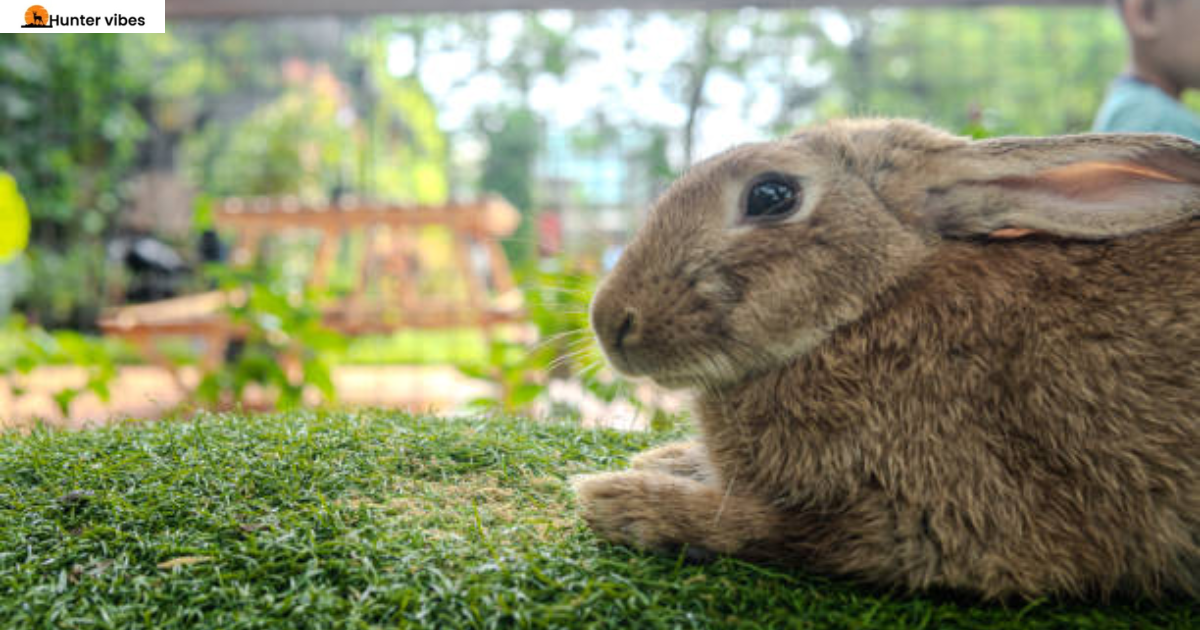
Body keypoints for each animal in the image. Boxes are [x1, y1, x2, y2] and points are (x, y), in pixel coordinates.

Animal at [573, 117, 1200, 600]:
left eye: (771, 195)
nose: (610, 322)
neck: (874, 305)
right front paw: (666, 459)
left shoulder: (938, 521)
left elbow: (768, 526)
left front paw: (624, 502)